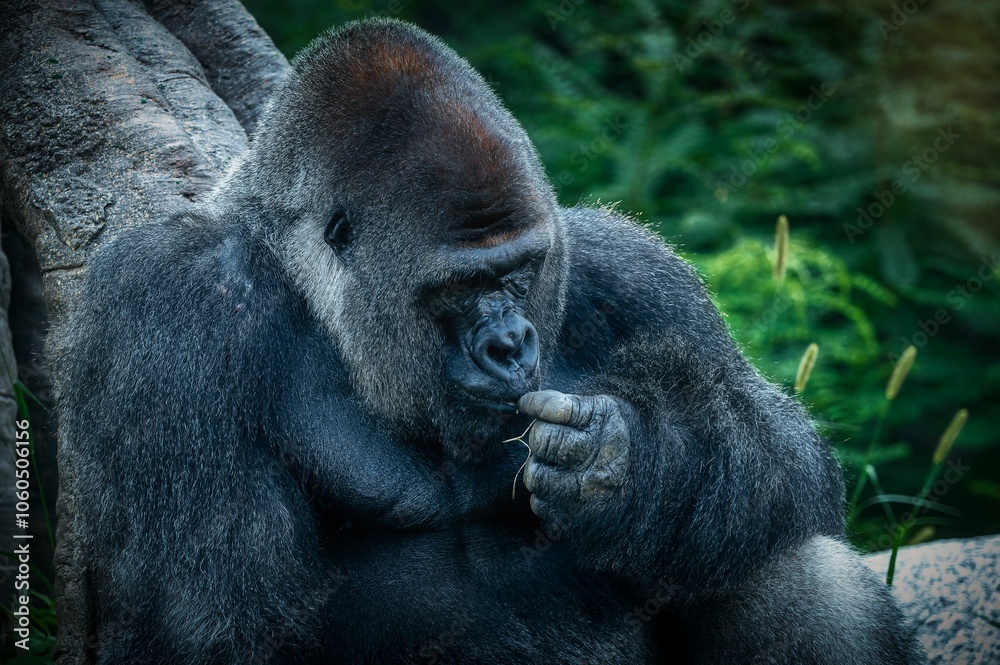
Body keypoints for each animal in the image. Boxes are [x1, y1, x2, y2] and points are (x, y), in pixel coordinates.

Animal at [55, 17, 924, 664]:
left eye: (521, 269)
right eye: (461, 287)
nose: (511, 344)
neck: (318, 302)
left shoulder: (631, 267)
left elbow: (786, 461)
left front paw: (629, 463)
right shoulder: (168, 305)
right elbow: (219, 623)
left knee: (789, 558)